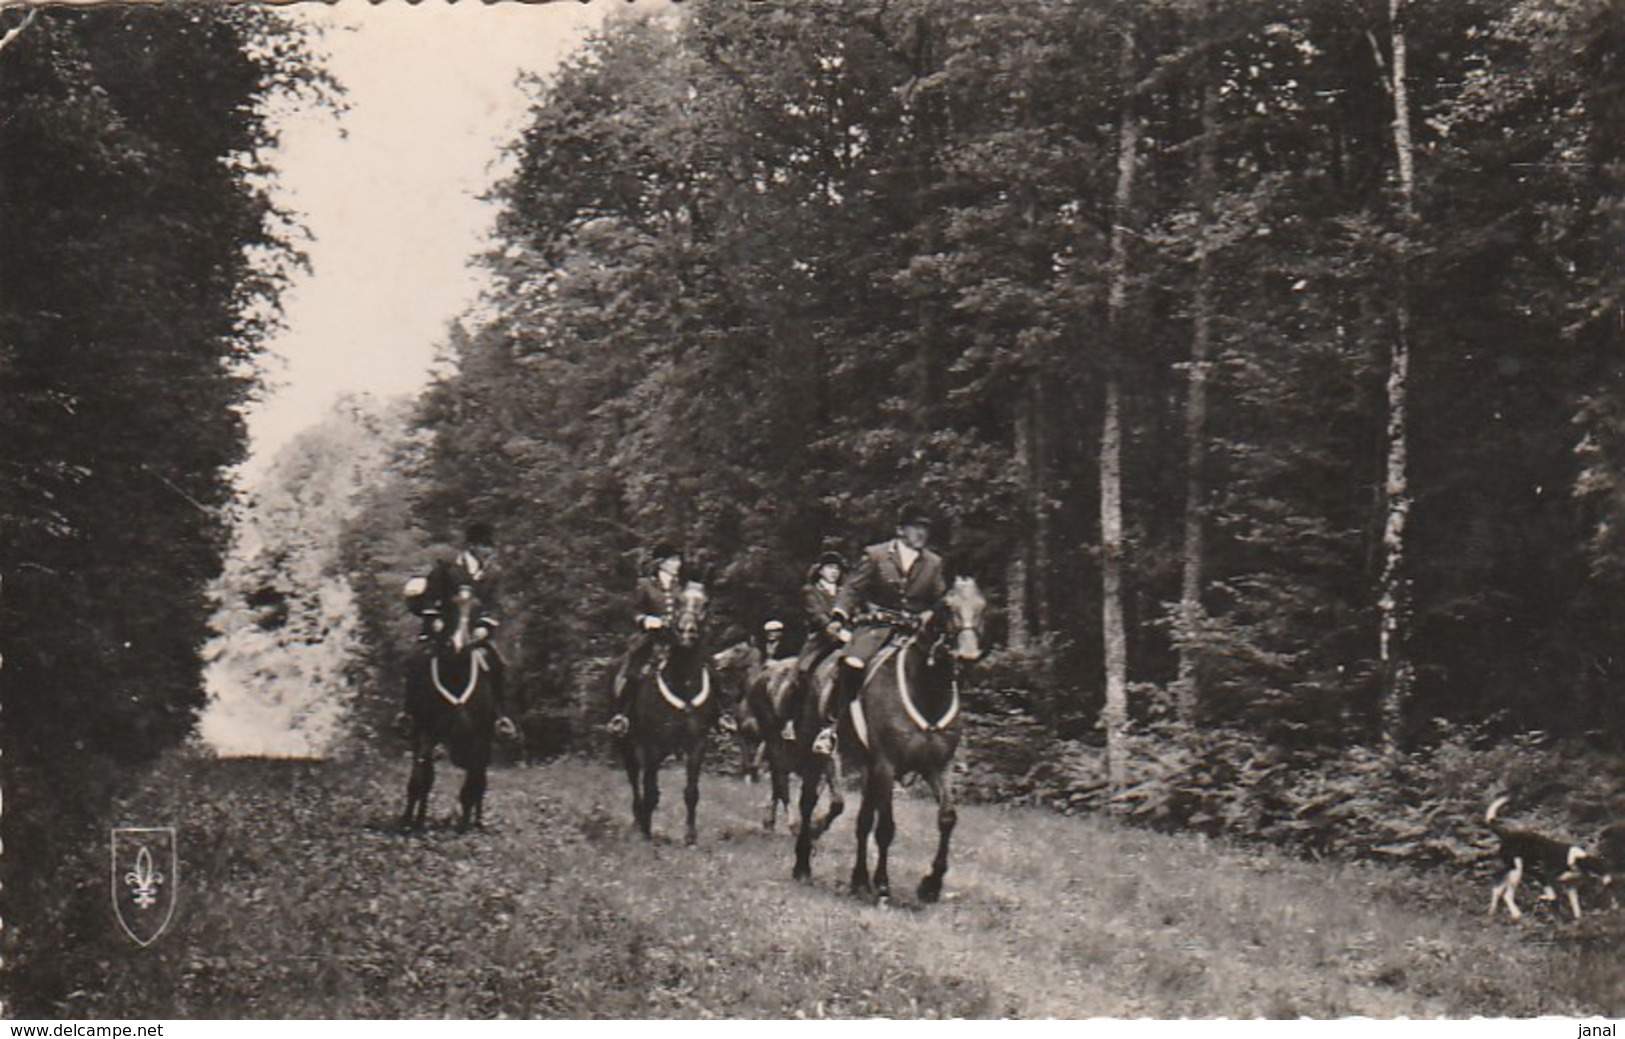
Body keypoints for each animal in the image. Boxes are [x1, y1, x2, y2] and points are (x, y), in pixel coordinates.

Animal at [399, 588, 507, 832]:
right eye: (448, 607)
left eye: (477, 608)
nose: (458, 646)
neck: (456, 674)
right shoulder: (426, 733)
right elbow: (422, 778)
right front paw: (414, 820)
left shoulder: (479, 738)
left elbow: (473, 783)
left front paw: (464, 822)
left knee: (478, 778)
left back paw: (476, 820)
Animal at [617, 582, 721, 852]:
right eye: (679, 600)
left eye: (706, 603)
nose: (687, 632)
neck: (682, 682)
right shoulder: (652, 745)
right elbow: (651, 792)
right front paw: (645, 833)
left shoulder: (697, 744)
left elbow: (691, 792)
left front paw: (690, 837)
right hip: (627, 746)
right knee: (635, 782)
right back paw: (638, 822)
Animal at [825, 578, 975, 904]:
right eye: (948, 606)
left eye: (983, 606)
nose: (967, 655)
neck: (927, 692)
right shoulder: (886, 766)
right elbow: (886, 828)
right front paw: (882, 884)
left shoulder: (938, 767)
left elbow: (947, 817)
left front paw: (931, 884)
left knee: (863, 820)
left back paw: (858, 880)